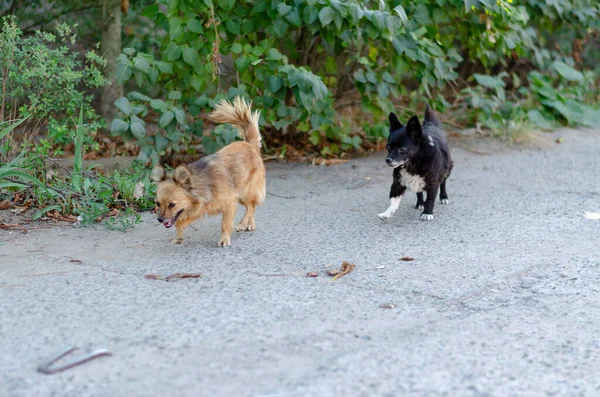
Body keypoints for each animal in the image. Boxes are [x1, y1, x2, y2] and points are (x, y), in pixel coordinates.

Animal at [152, 96, 268, 244]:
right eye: (157, 203)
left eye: (172, 205)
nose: (159, 219)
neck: (203, 186)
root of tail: (250, 145)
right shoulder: (199, 209)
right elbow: (179, 223)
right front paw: (178, 237)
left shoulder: (230, 203)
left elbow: (225, 224)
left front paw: (224, 239)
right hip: (242, 196)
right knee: (251, 207)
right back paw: (250, 224)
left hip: (246, 192)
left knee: (251, 207)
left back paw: (243, 223)